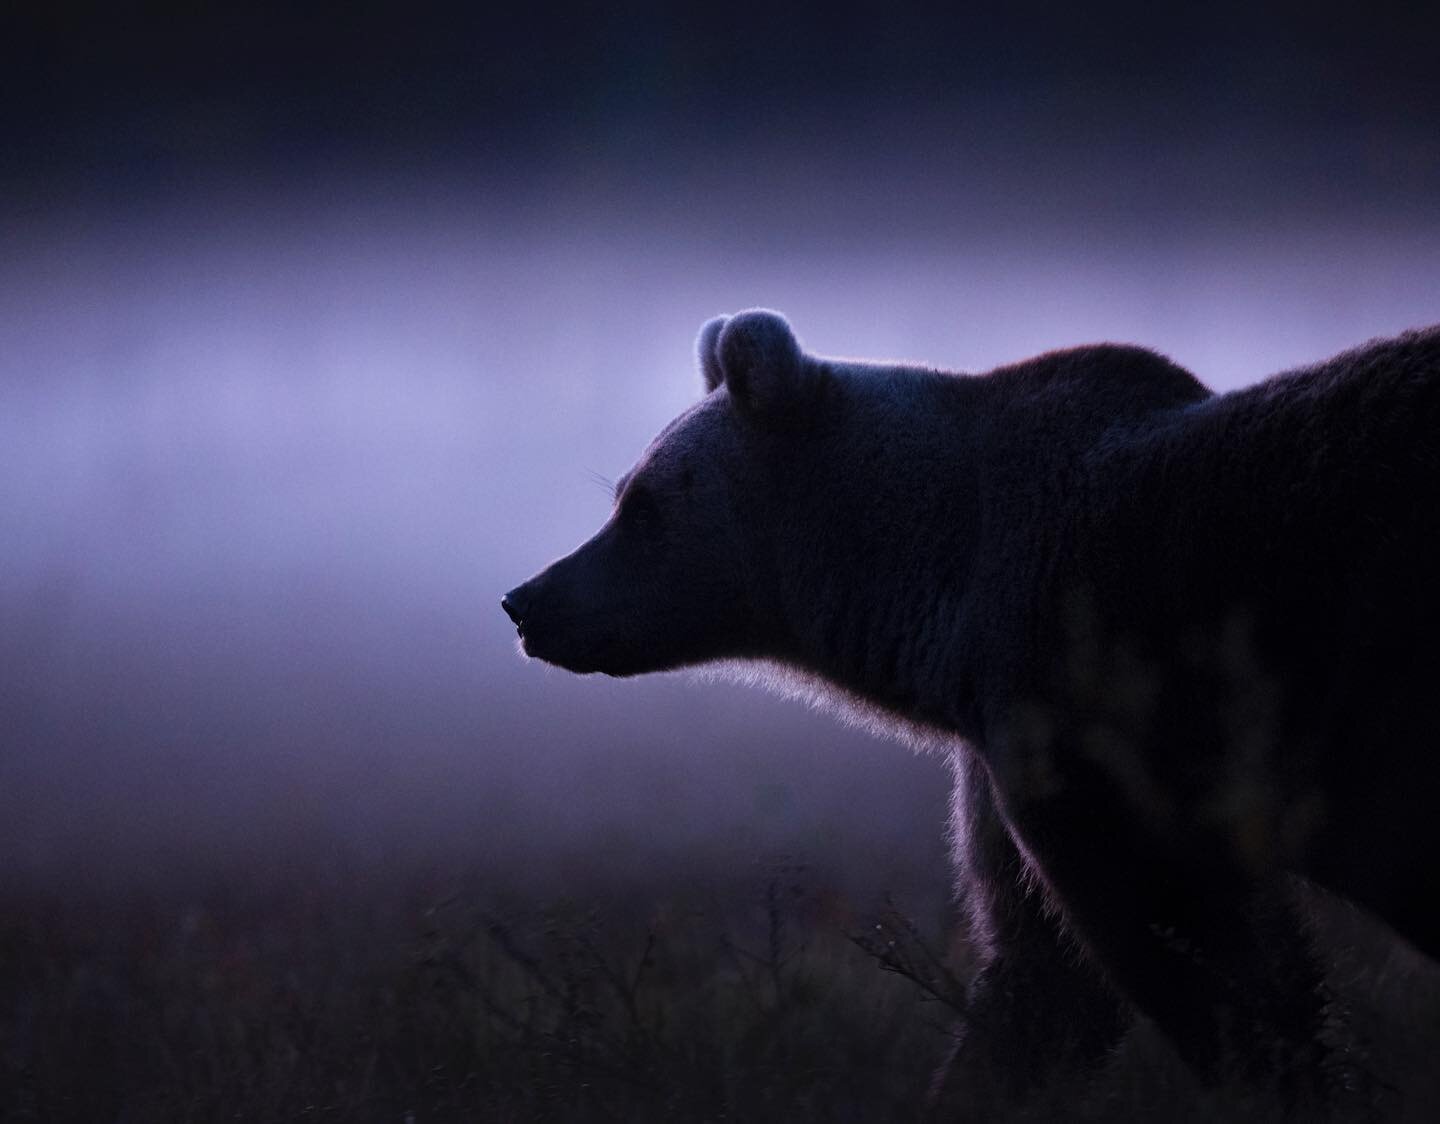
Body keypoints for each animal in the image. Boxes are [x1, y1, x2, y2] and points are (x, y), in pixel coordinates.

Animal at [504, 310, 1440, 1111]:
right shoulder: (1006, 755)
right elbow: (1040, 977)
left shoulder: (1094, 710)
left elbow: (1206, 951)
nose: (526, 601)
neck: (938, 603)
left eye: (642, 504)